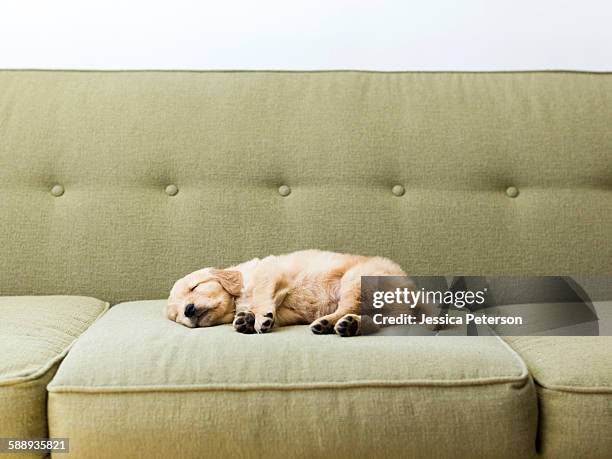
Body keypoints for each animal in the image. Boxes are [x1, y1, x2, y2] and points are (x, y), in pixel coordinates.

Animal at [166, 252, 430, 338]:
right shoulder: (287, 311)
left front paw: (258, 317)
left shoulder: (270, 273)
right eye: (177, 316)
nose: (188, 310)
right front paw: (246, 319)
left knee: (349, 307)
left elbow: (262, 295)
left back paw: (329, 323)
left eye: (194, 287)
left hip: (355, 280)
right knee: (373, 321)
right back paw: (348, 325)